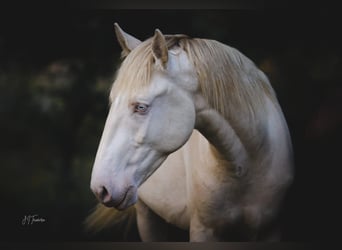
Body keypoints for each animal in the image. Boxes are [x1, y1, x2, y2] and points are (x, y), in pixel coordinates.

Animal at [86, 23, 294, 242]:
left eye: (141, 107)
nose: (101, 189)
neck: (247, 166)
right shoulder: (203, 230)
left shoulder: (270, 231)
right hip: (146, 215)